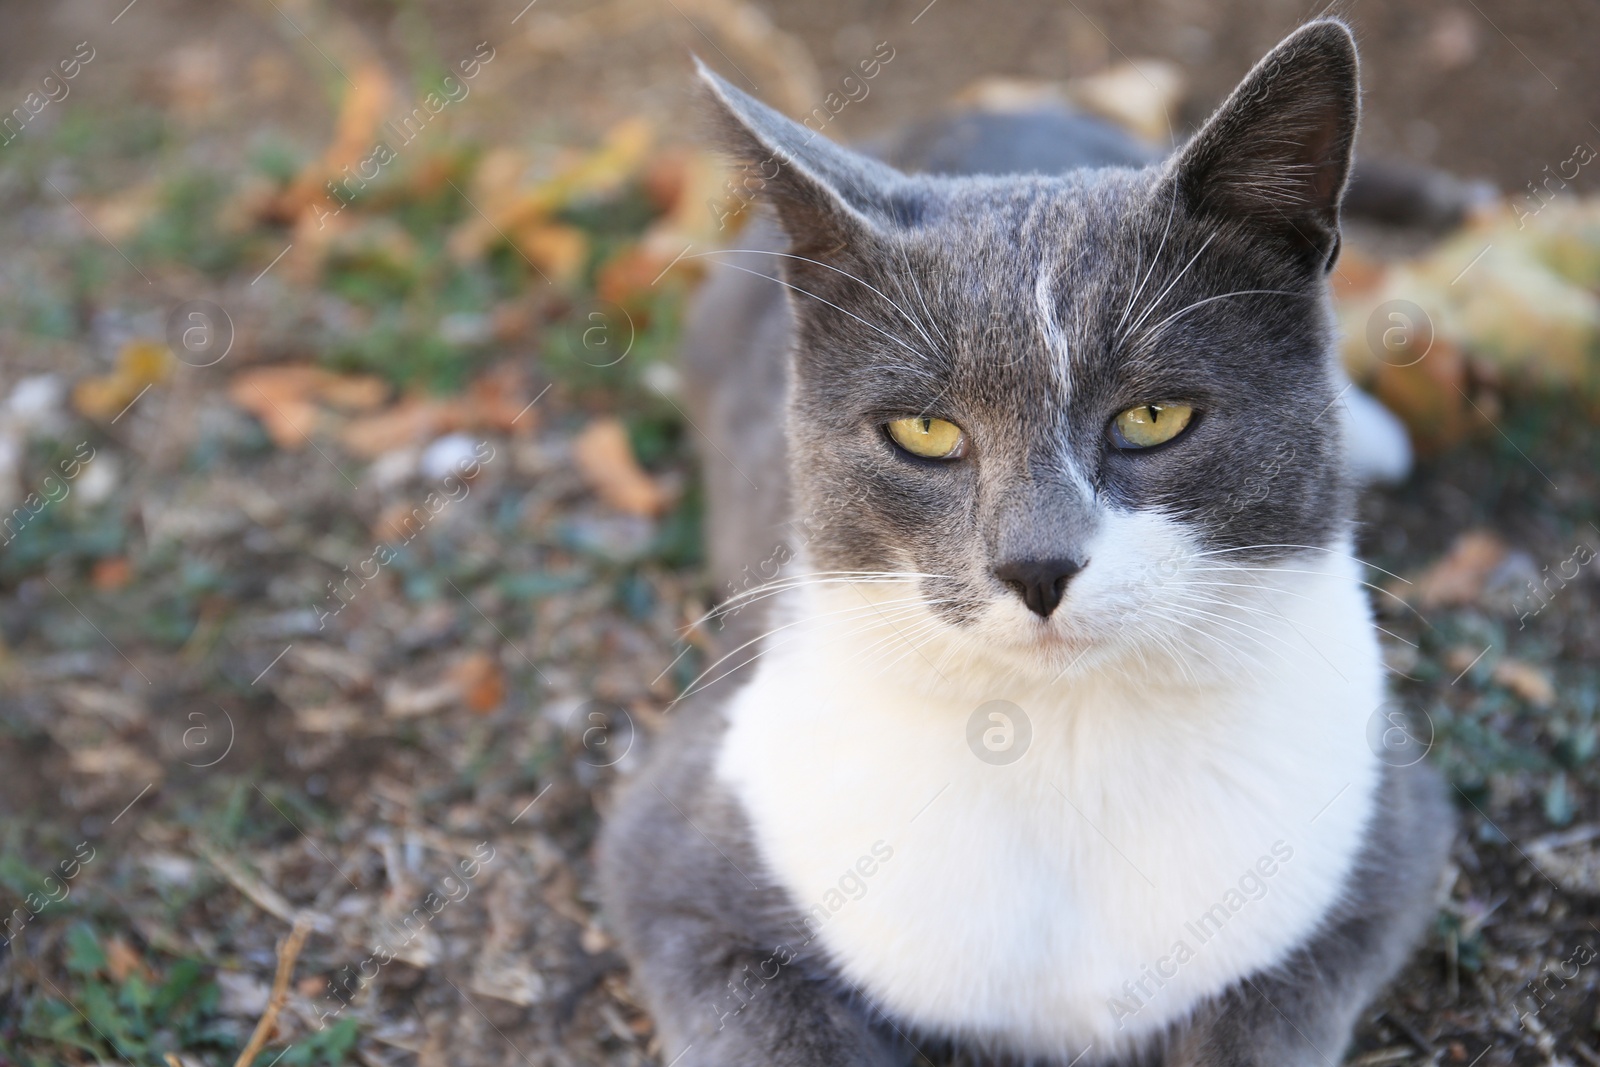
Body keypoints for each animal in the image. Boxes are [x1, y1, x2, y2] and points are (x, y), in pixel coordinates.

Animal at [598, 18, 1452, 1067]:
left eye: (1155, 418)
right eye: (925, 432)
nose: (1037, 565)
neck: (1060, 736)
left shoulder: (1385, 848)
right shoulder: (674, 856)